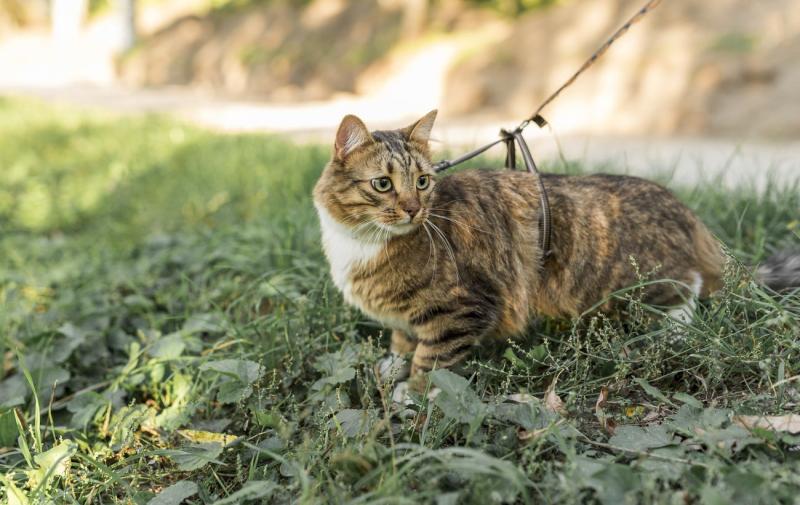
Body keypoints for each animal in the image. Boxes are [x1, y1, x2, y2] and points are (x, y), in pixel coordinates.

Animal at [312, 110, 800, 384]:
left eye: (422, 182)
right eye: (382, 184)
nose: (414, 210)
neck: (360, 242)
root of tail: (681, 206)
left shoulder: (463, 307)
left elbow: (429, 362)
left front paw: (409, 397)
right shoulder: (409, 314)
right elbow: (401, 340)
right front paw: (391, 366)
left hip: (645, 283)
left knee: (689, 290)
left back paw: (673, 332)